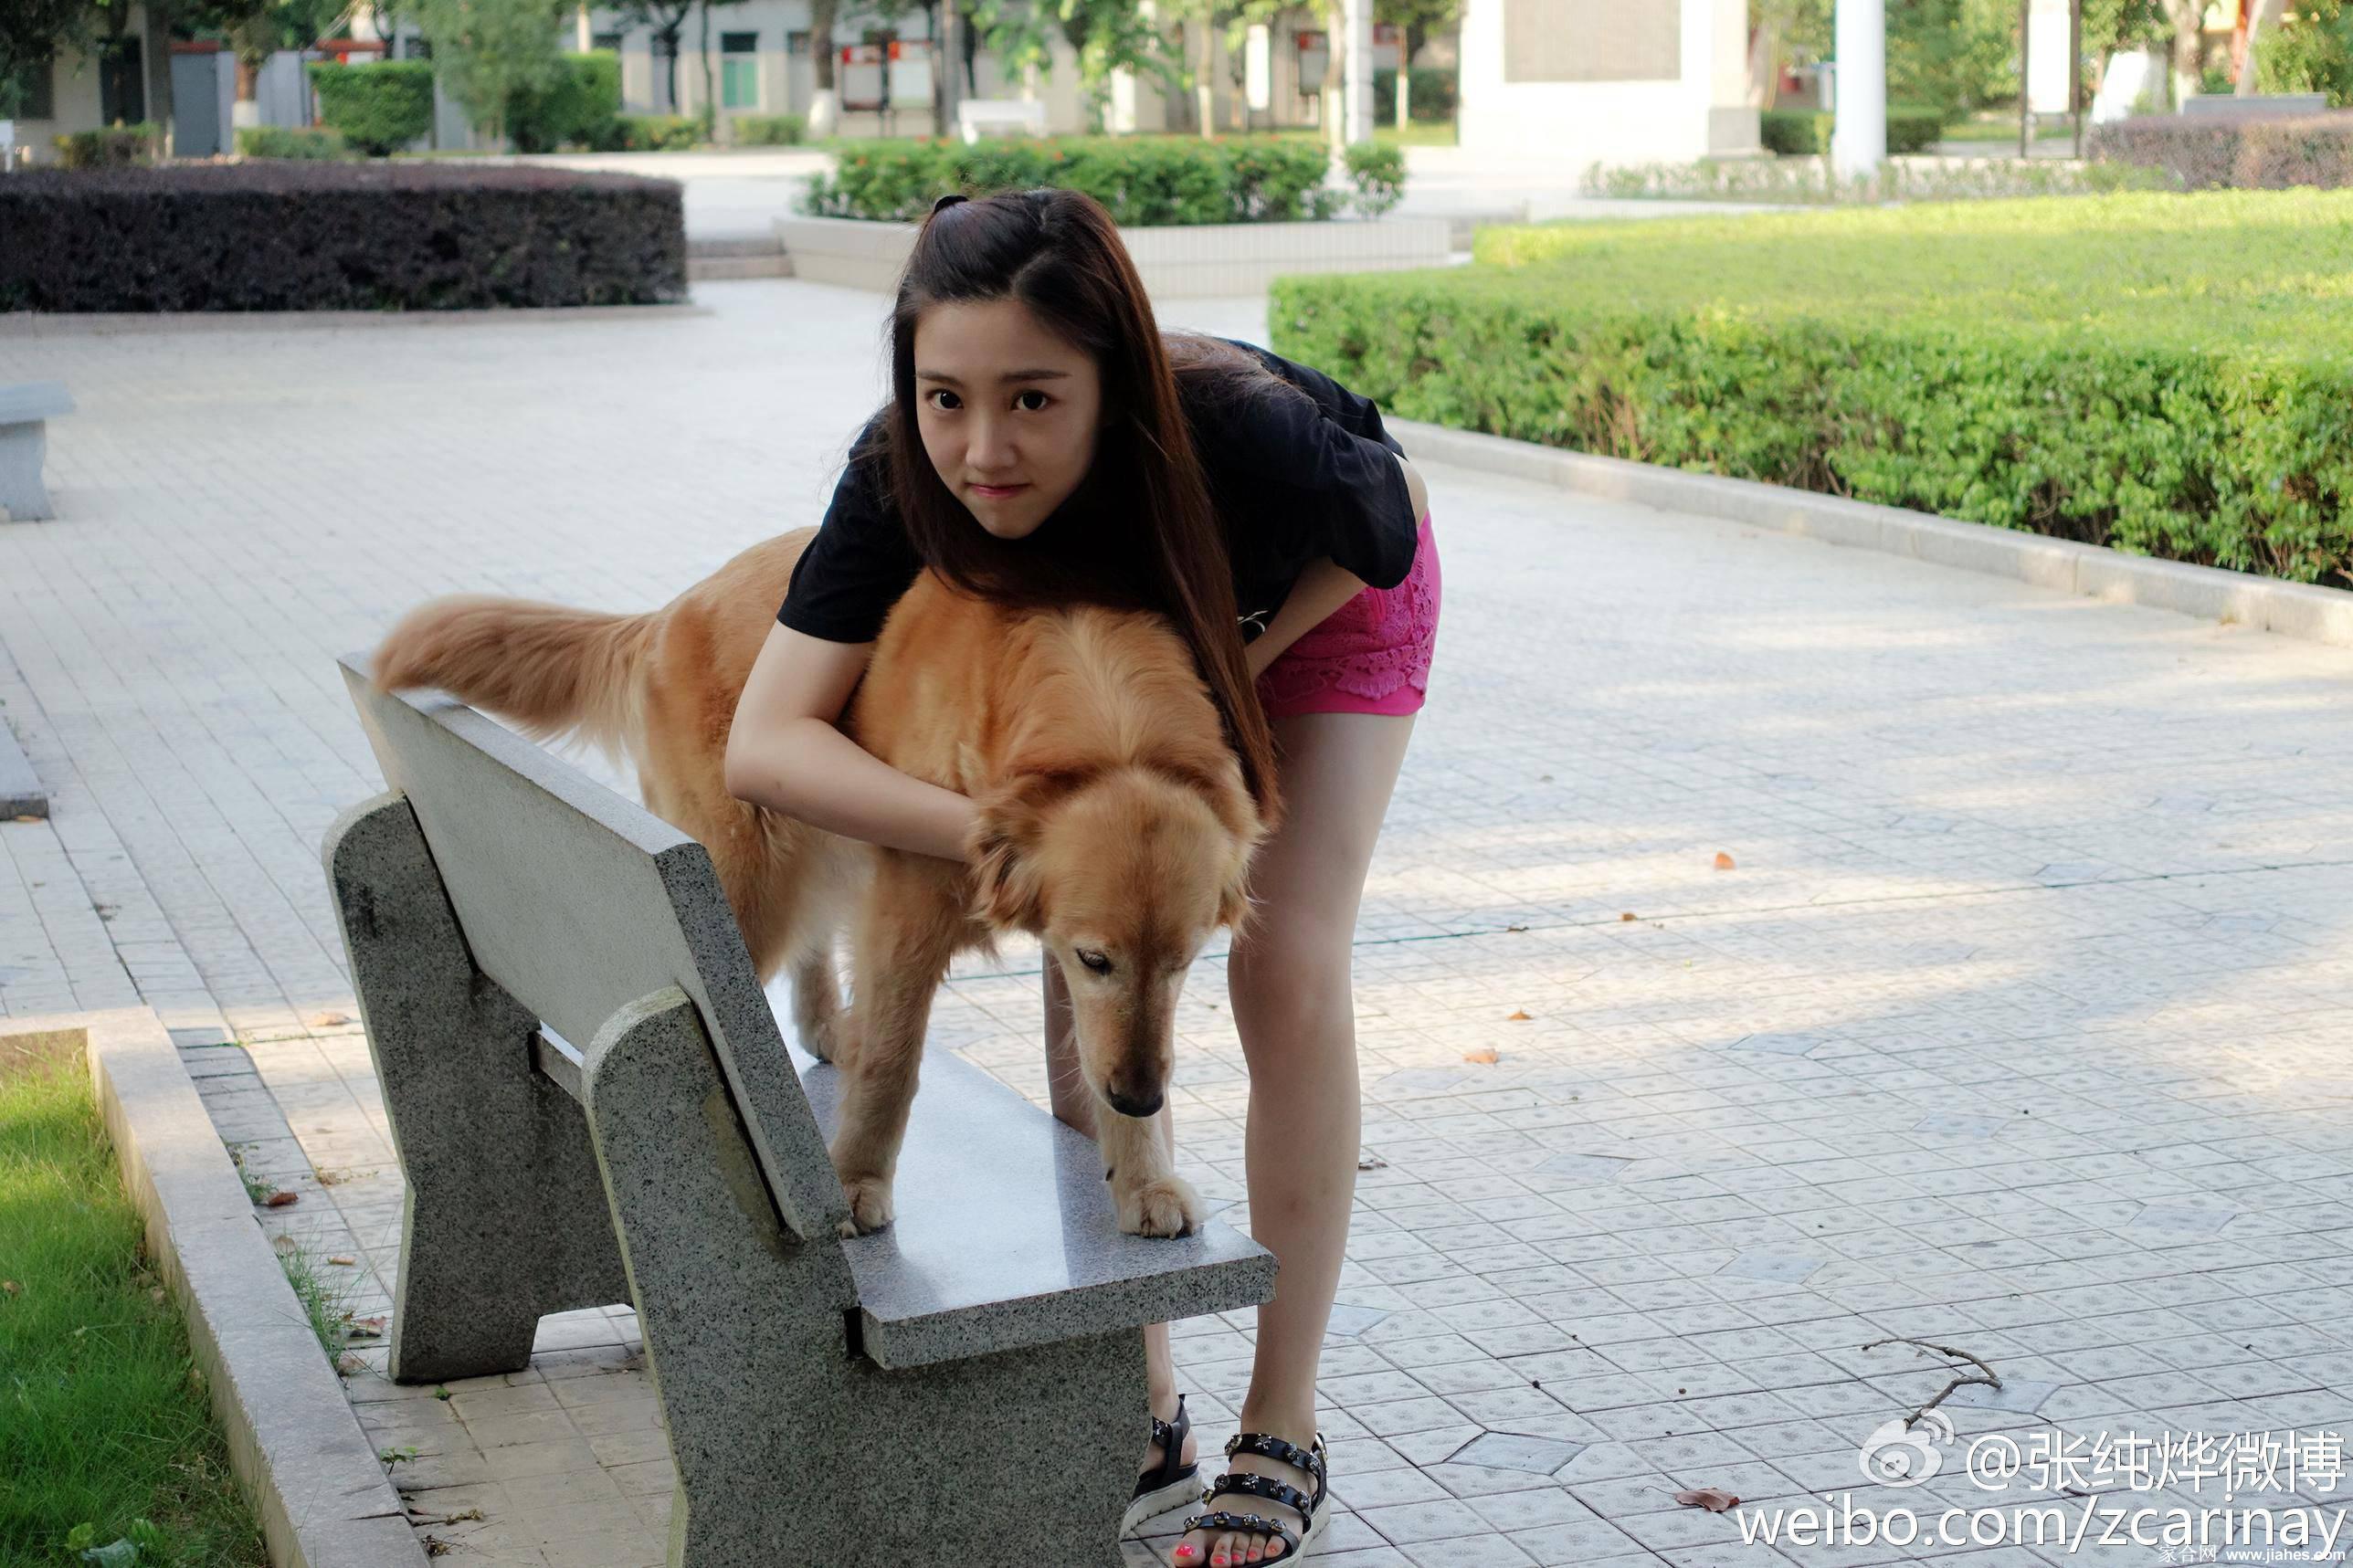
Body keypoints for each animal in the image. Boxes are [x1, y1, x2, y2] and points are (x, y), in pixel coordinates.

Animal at [372, 526, 1251, 1241]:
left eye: (1184, 963)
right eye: (1098, 959)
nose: (1140, 1097)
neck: (1104, 729)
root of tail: (672, 608)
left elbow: (1102, 1048)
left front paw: (1144, 1178)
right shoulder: (914, 904)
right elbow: (893, 1060)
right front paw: (857, 1179)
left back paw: (831, 1023)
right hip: (743, 880)